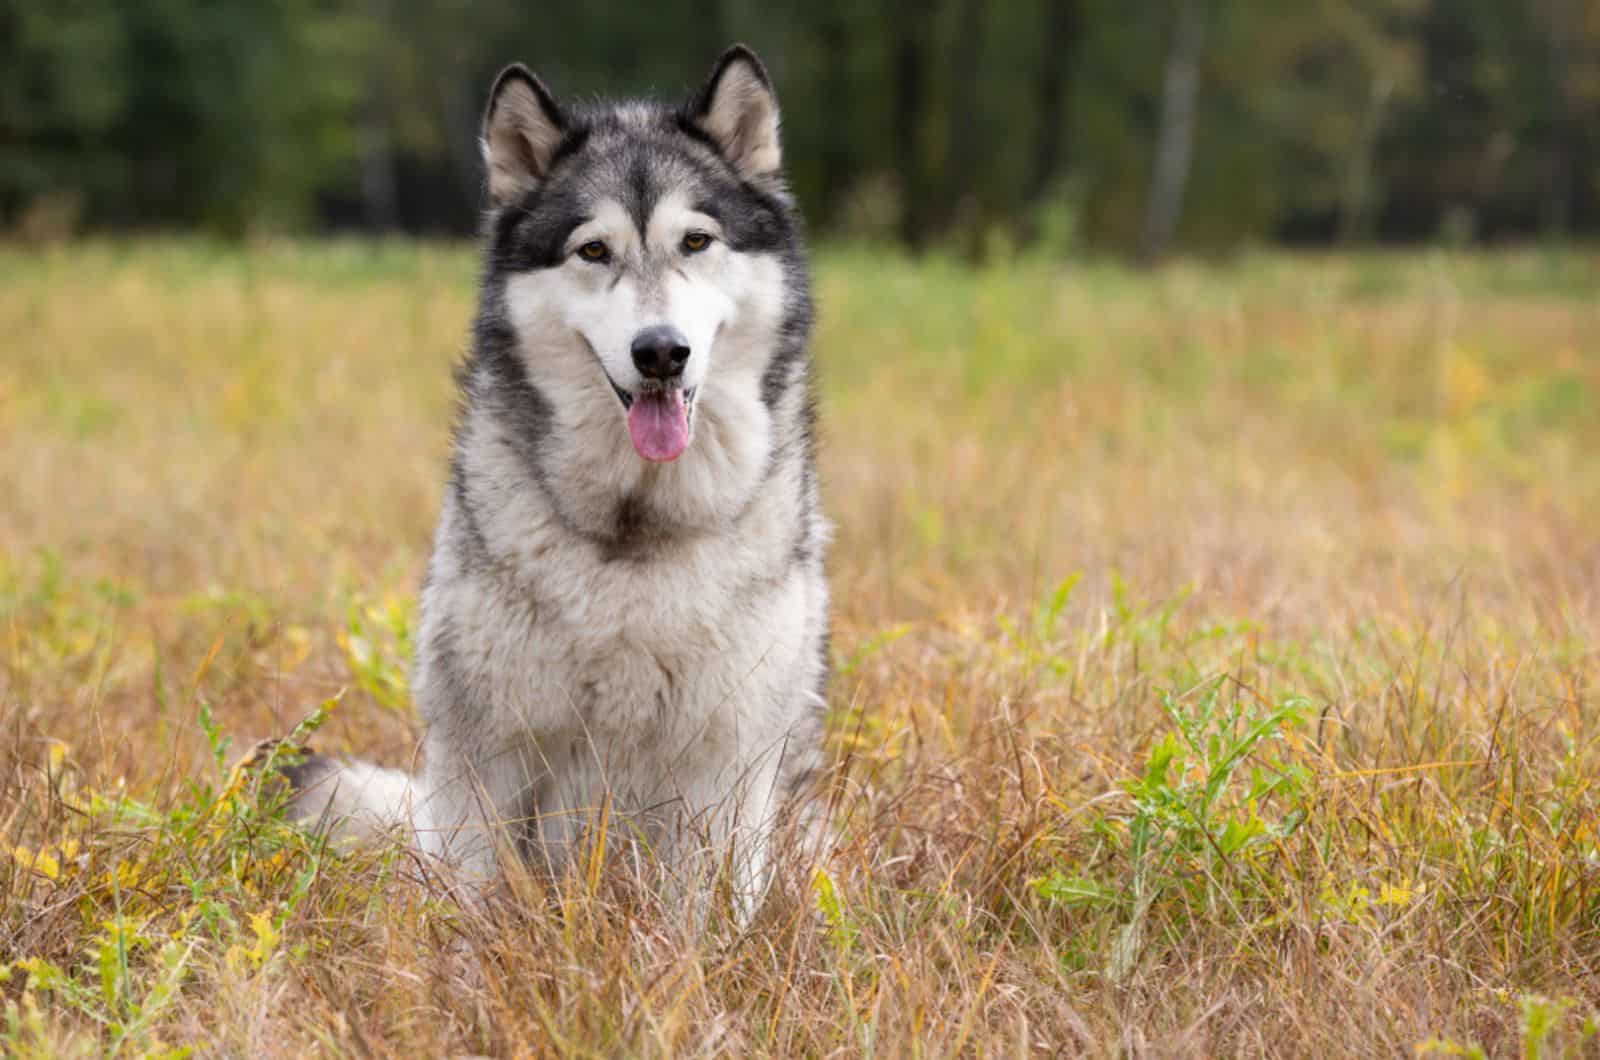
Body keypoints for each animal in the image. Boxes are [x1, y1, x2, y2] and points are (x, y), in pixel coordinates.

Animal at [286, 45, 832, 909]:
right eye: (593, 251)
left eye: (696, 241)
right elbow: (475, 904)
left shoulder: (727, 762)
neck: (638, 529)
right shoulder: (487, 752)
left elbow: (699, 916)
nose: (660, 351)